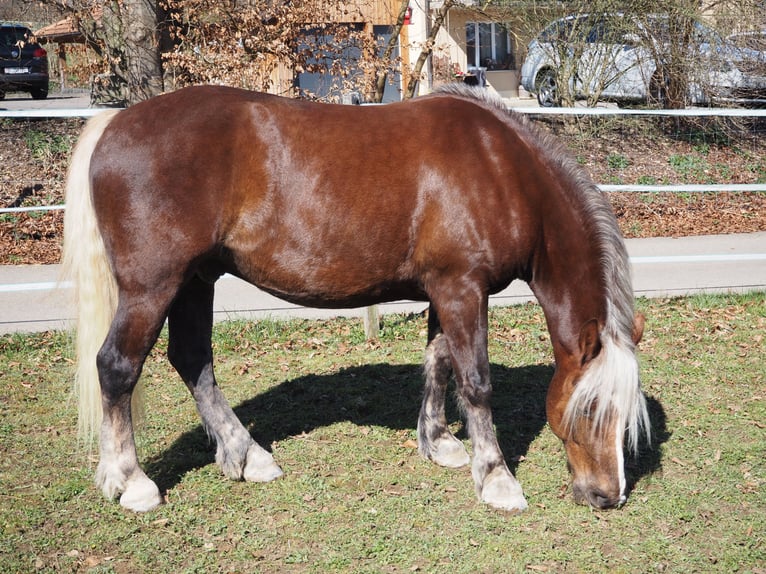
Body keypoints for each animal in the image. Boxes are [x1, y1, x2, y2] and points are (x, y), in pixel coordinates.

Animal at [62, 84, 650, 514]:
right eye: (593, 408)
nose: (609, 496)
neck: (501, 169)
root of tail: (115, 122)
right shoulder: (462, 287)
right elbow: (476, 381)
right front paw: (497, 478)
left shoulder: (444, 289)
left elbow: (438, 363)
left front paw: (439, 443)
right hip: (153, 286)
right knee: (117, 367)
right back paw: (132, 482)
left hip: (195, 281)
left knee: (193, 361)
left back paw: (248, 456)